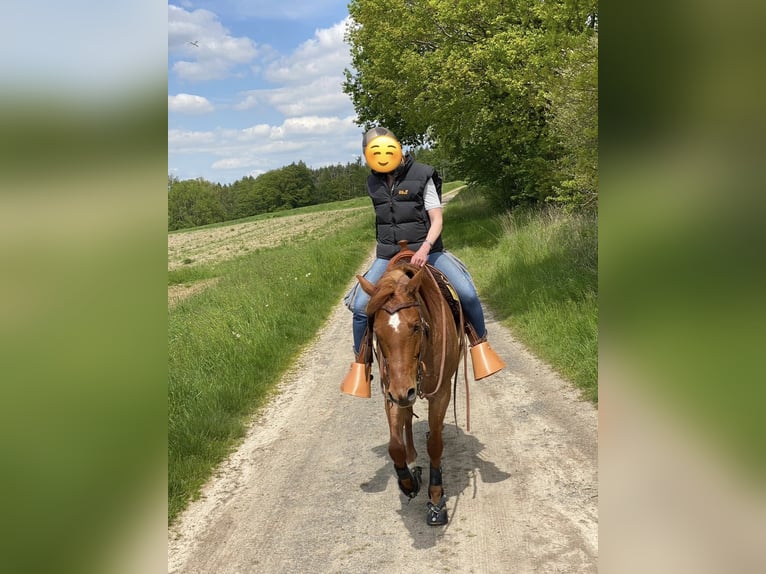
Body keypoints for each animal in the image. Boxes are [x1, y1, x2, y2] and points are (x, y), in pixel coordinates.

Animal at [356, 251, 464, 525]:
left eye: (416, 326)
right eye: (376, 330)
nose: (404, 391)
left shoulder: (440, 392)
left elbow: (435, 443)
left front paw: (436, 499)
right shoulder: (391, 393)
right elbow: (394, 447)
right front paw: (408, 481)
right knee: (406, 418)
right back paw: (413, 457)